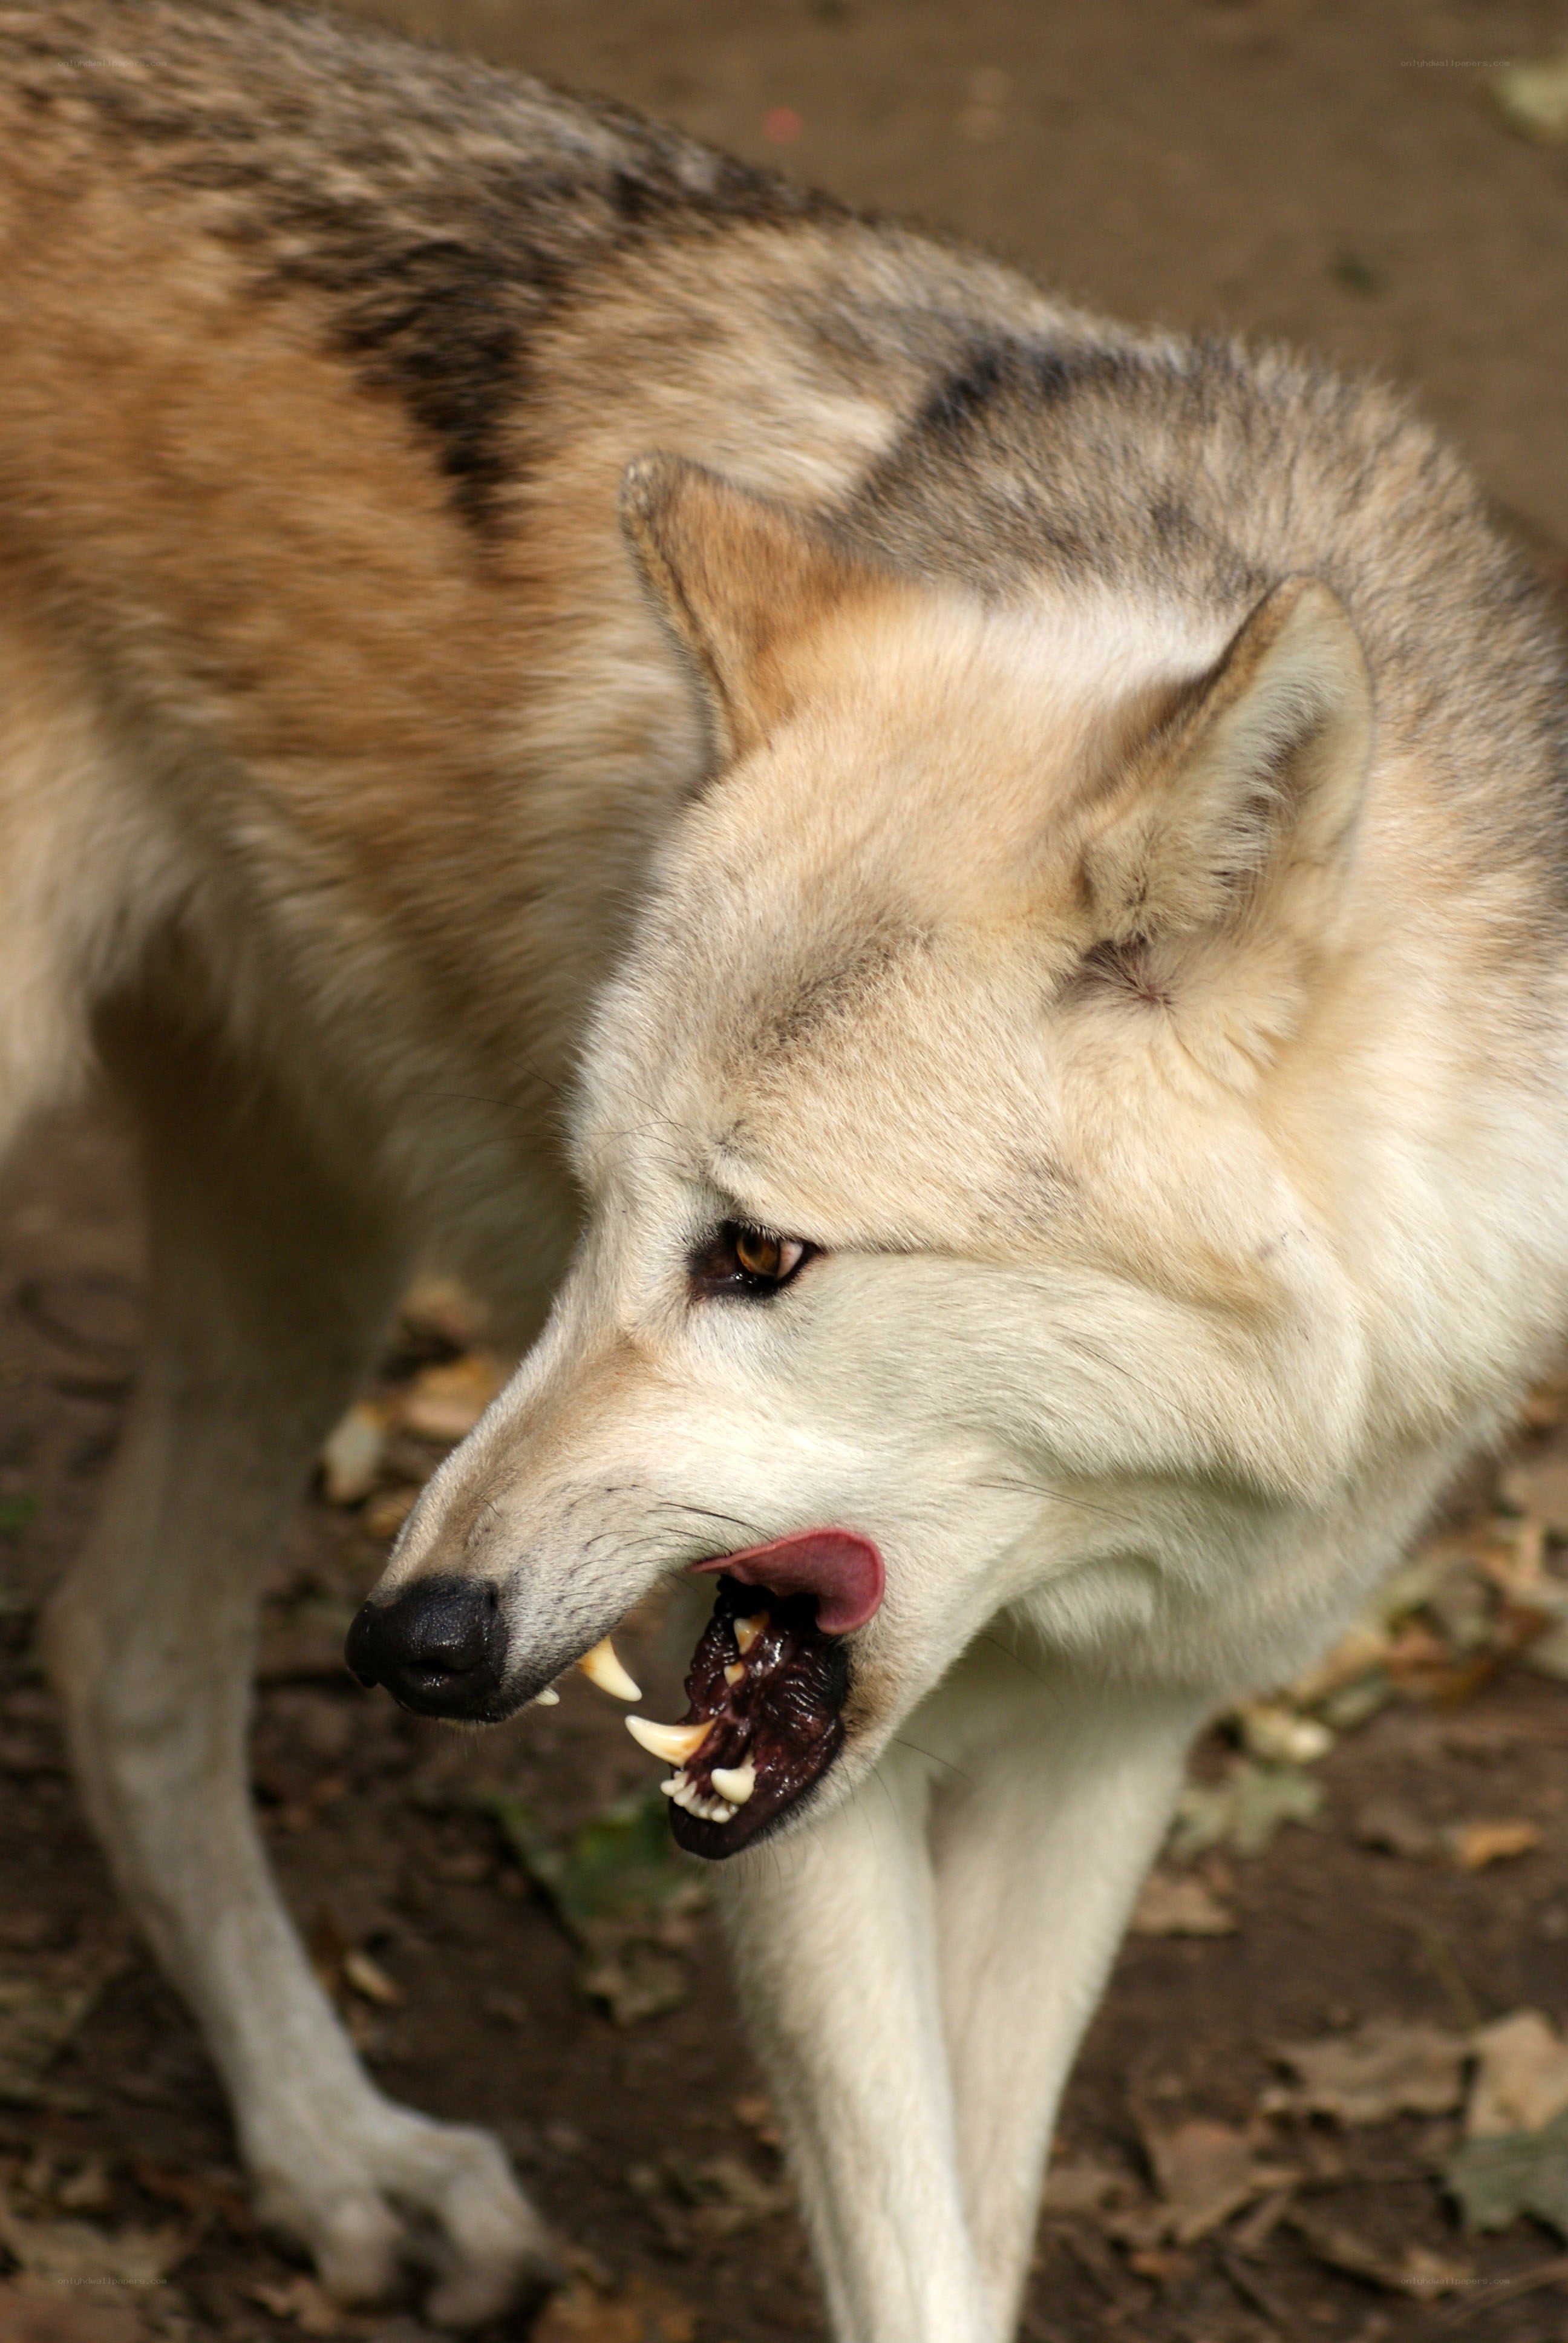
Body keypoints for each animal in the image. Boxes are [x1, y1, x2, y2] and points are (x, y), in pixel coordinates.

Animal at [2, 0, 1566, 2335]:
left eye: (757, 1252)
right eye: (598, 1212)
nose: (414, 1640)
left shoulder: (1112, 1744)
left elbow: (982, 2231)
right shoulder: (800, 1777)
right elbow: (907, 2262)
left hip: (310, 1240)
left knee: (122, 1654)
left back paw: (339, 2162)